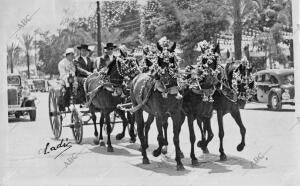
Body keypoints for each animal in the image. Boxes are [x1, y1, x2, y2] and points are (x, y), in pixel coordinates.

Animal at [130, 41, 186, 171]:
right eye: (159, 60)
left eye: (172, 59)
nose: (165, 79)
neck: (167, 90)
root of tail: (136, 78)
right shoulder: (159, 114)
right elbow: (160, 136)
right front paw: (157, 151)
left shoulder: (176, 114)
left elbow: (176, 137)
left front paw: (179, 162)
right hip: (138, 107)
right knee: (140, 128)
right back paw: (145, 155)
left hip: (151, 112)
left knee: (146, 126)